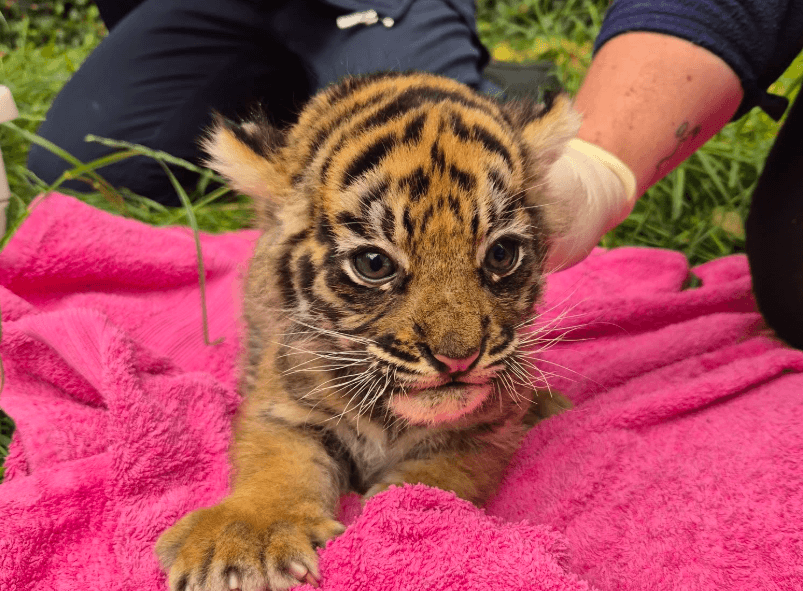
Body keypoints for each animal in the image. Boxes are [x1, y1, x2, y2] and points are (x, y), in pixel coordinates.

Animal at [155, 71, 577, 591]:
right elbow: (275, 467)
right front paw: (241, 541)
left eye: (501, 254)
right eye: (374, 264)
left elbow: (440, 475)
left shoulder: (483, 430)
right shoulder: (284, 408)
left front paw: (399, 507)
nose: (458, 358)